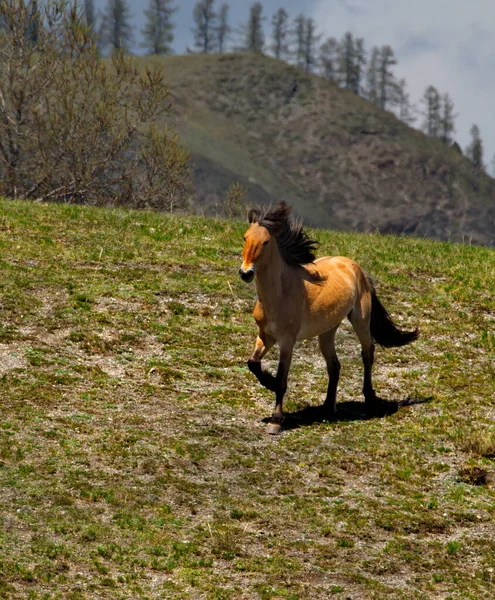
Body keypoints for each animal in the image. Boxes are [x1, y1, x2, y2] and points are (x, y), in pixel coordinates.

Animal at [240, 200, 418, 432]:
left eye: (266, 241)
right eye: (245, 237)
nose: (245, 273)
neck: (281, 294)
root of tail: (357, 268)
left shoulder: (287, 341)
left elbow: (281, 380)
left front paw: (276, 421)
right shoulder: (265, 335)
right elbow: (252, 363)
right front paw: (267, 383)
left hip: (360, 319)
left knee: (367, 351)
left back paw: (370, 400)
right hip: (327, 330)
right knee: (334, 365)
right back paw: (327, 408)